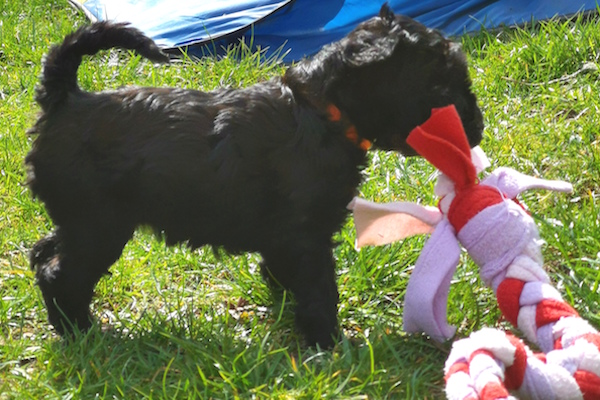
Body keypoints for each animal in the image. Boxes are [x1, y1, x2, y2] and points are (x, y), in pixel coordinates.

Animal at [27, 4, 482, 346]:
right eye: (442, 86)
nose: (478, 128)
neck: (321, 110)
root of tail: (66, 98)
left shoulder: (288, 237)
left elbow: (283, 272)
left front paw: (285, 304)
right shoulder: (305, 234)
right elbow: (319, 288)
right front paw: (329, 343)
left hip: (80, 221)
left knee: (44, 252)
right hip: (99, 225)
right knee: (61, 273)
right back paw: (82, 332)